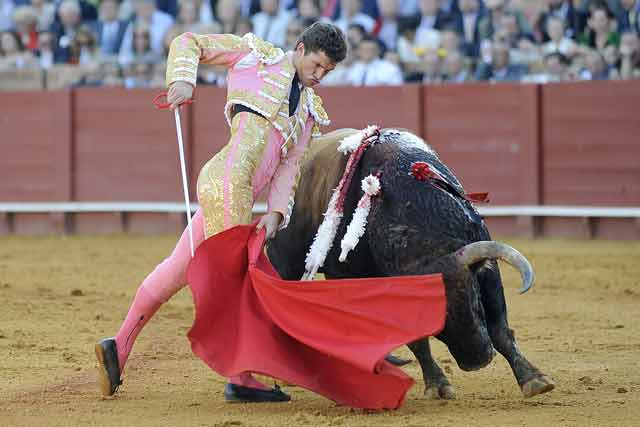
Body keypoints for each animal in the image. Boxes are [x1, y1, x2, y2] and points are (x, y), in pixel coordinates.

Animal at [266, 129, 556, 400]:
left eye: (475, 300)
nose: (477, 360)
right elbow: (418, 341)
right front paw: (438, 385)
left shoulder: (487, 270)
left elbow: (500, 328)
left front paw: (533, 379)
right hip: (288, 265)